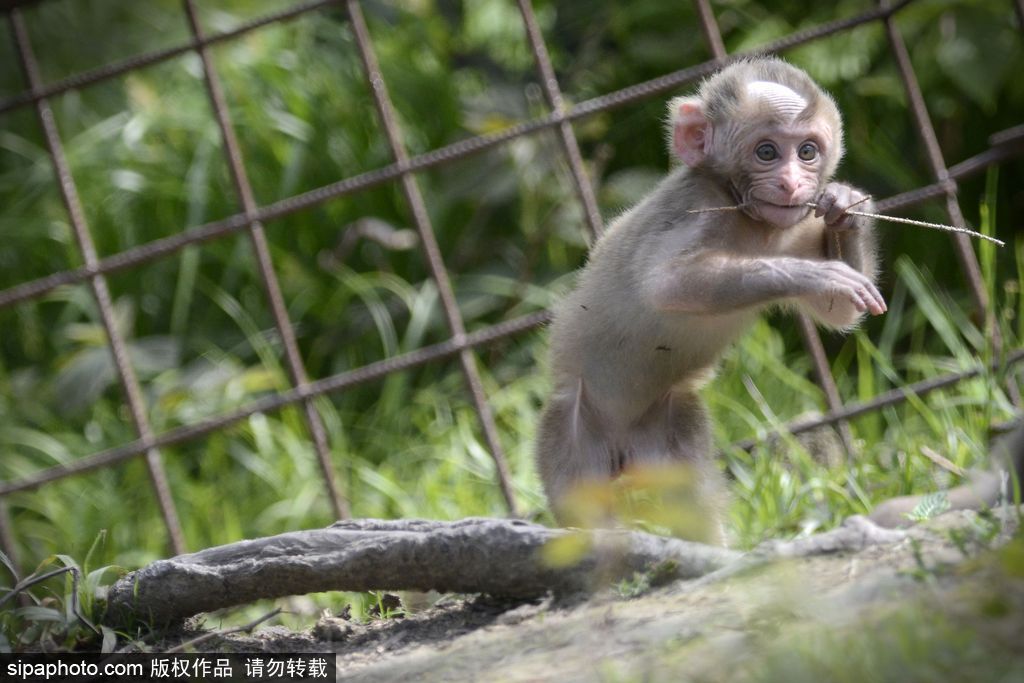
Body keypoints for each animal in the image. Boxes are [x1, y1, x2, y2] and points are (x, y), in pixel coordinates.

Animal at [532, 56, 884, 540]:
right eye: (767, 152)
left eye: (807, 152)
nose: (792, 184)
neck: (748, 217)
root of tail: (623, 441)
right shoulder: (696, 208)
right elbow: (665, 286)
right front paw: (814, 274)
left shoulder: (794, 227)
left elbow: (838, 311)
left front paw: (846, 207)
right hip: (571, 431)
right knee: (588, 520)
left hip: (667, 431)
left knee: (691, 503)